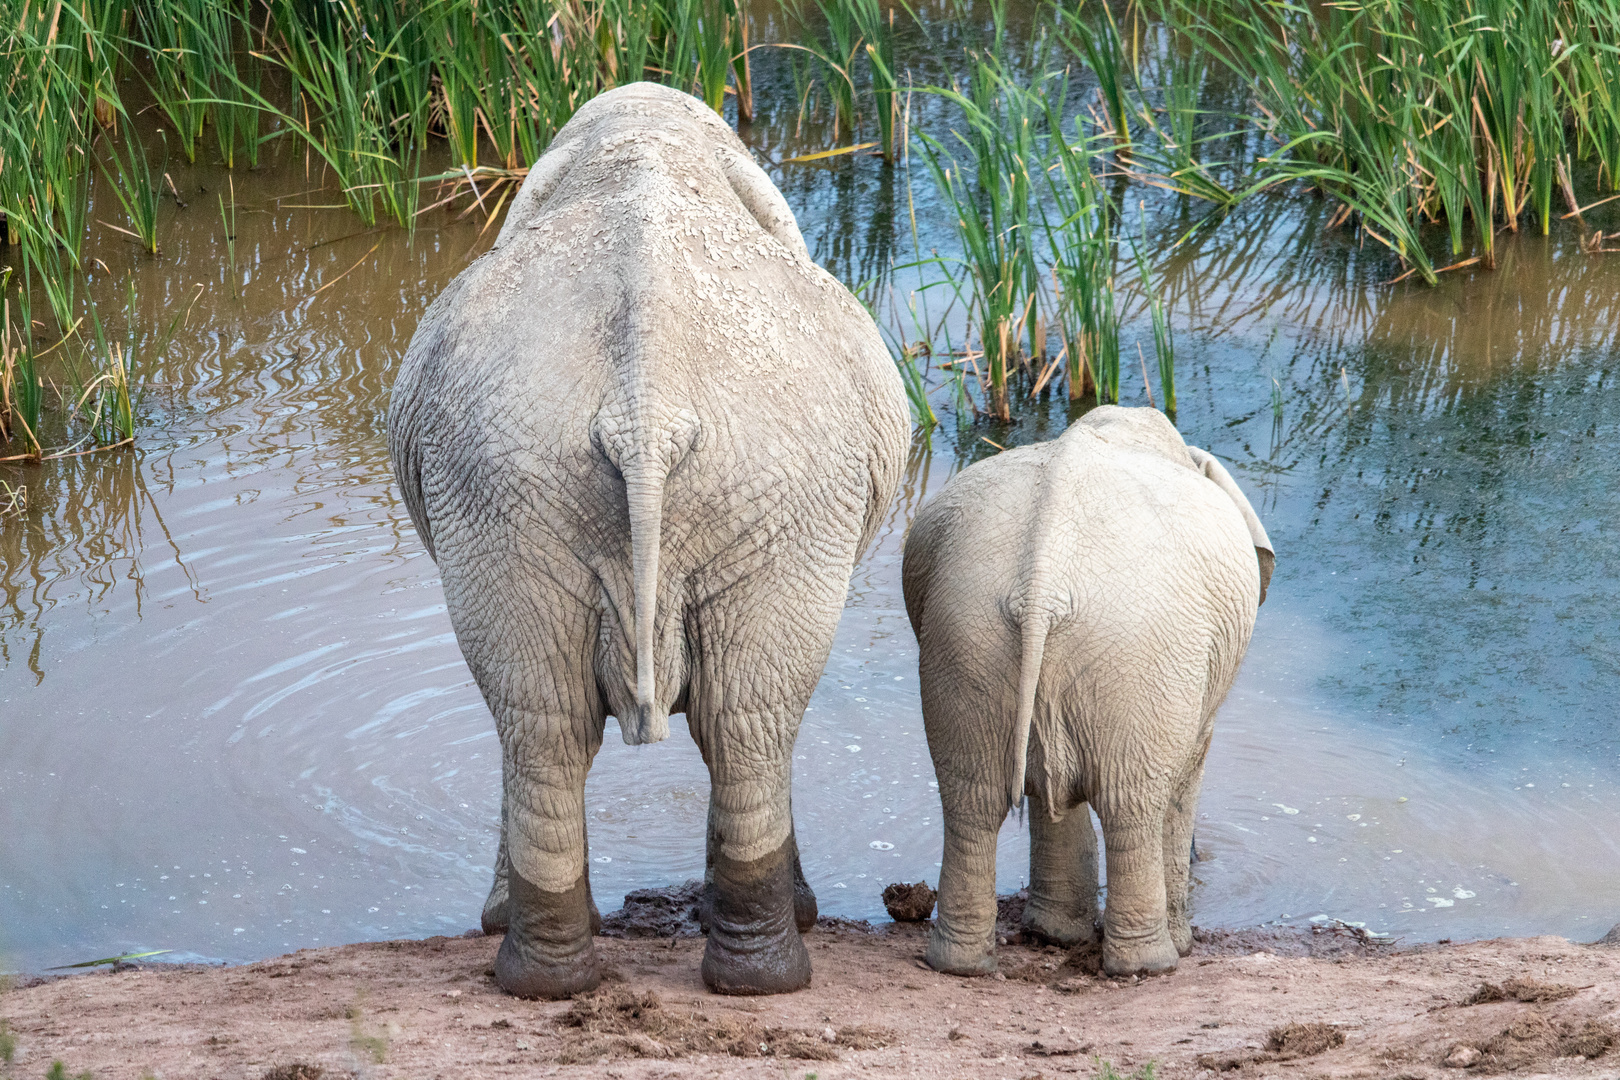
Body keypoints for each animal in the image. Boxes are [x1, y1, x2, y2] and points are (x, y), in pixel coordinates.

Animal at [388, 82, 913, 997]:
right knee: (728, 725)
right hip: (557, 485)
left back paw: (567, 981)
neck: (642, 141)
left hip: (539, 490)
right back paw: (748, 975)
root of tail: (645, 409)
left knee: (572, 723)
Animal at [907, 404, 1270, 977]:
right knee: (1133, 808)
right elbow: (1187, 771)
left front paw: (1053, 935)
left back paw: (962, 963)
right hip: (1141, 654)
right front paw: (1182, 946)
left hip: (962, 639)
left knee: (971, 801)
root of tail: (1039, 587)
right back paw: (1151, 965)